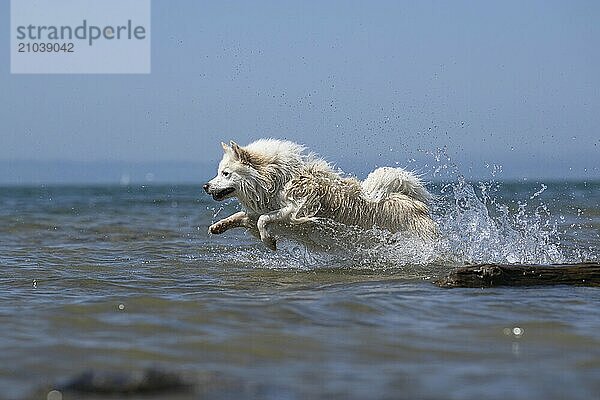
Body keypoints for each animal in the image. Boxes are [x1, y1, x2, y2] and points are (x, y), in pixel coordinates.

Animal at [205, 138, 436, 250]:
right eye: (219, 172)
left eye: (225, 173)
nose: (205, 186)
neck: (274, 179)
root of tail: (416, 203)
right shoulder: (260, 209)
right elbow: (243, 217)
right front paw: (217, 227)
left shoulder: (295, 210)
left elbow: (264, 219)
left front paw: (269, 242)